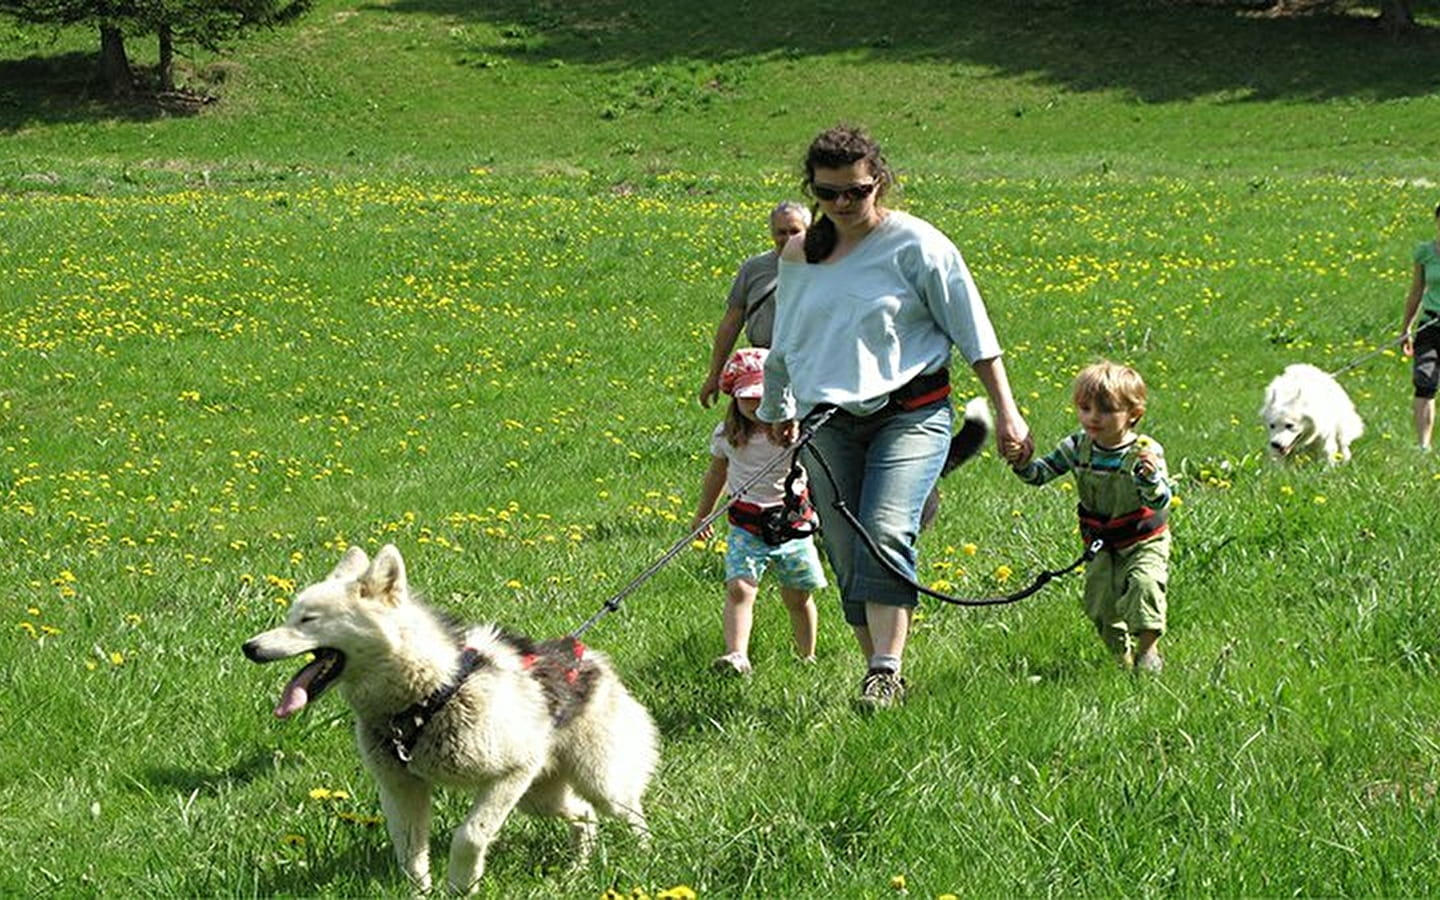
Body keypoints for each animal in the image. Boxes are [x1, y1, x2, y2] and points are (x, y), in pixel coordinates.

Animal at [243, 541, 659, 892]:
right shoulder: (402, 791)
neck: (428, 698)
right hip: (538, 796)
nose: (249, 647)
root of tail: (588, 658)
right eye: (291, 617)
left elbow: (469, 835)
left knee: (630, 814)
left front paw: (461, 884)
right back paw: (577, 869)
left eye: (308, 620)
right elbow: (411, 856)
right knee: (584, 814)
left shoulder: (511, 774)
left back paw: (643, 856)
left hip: (598, 783)